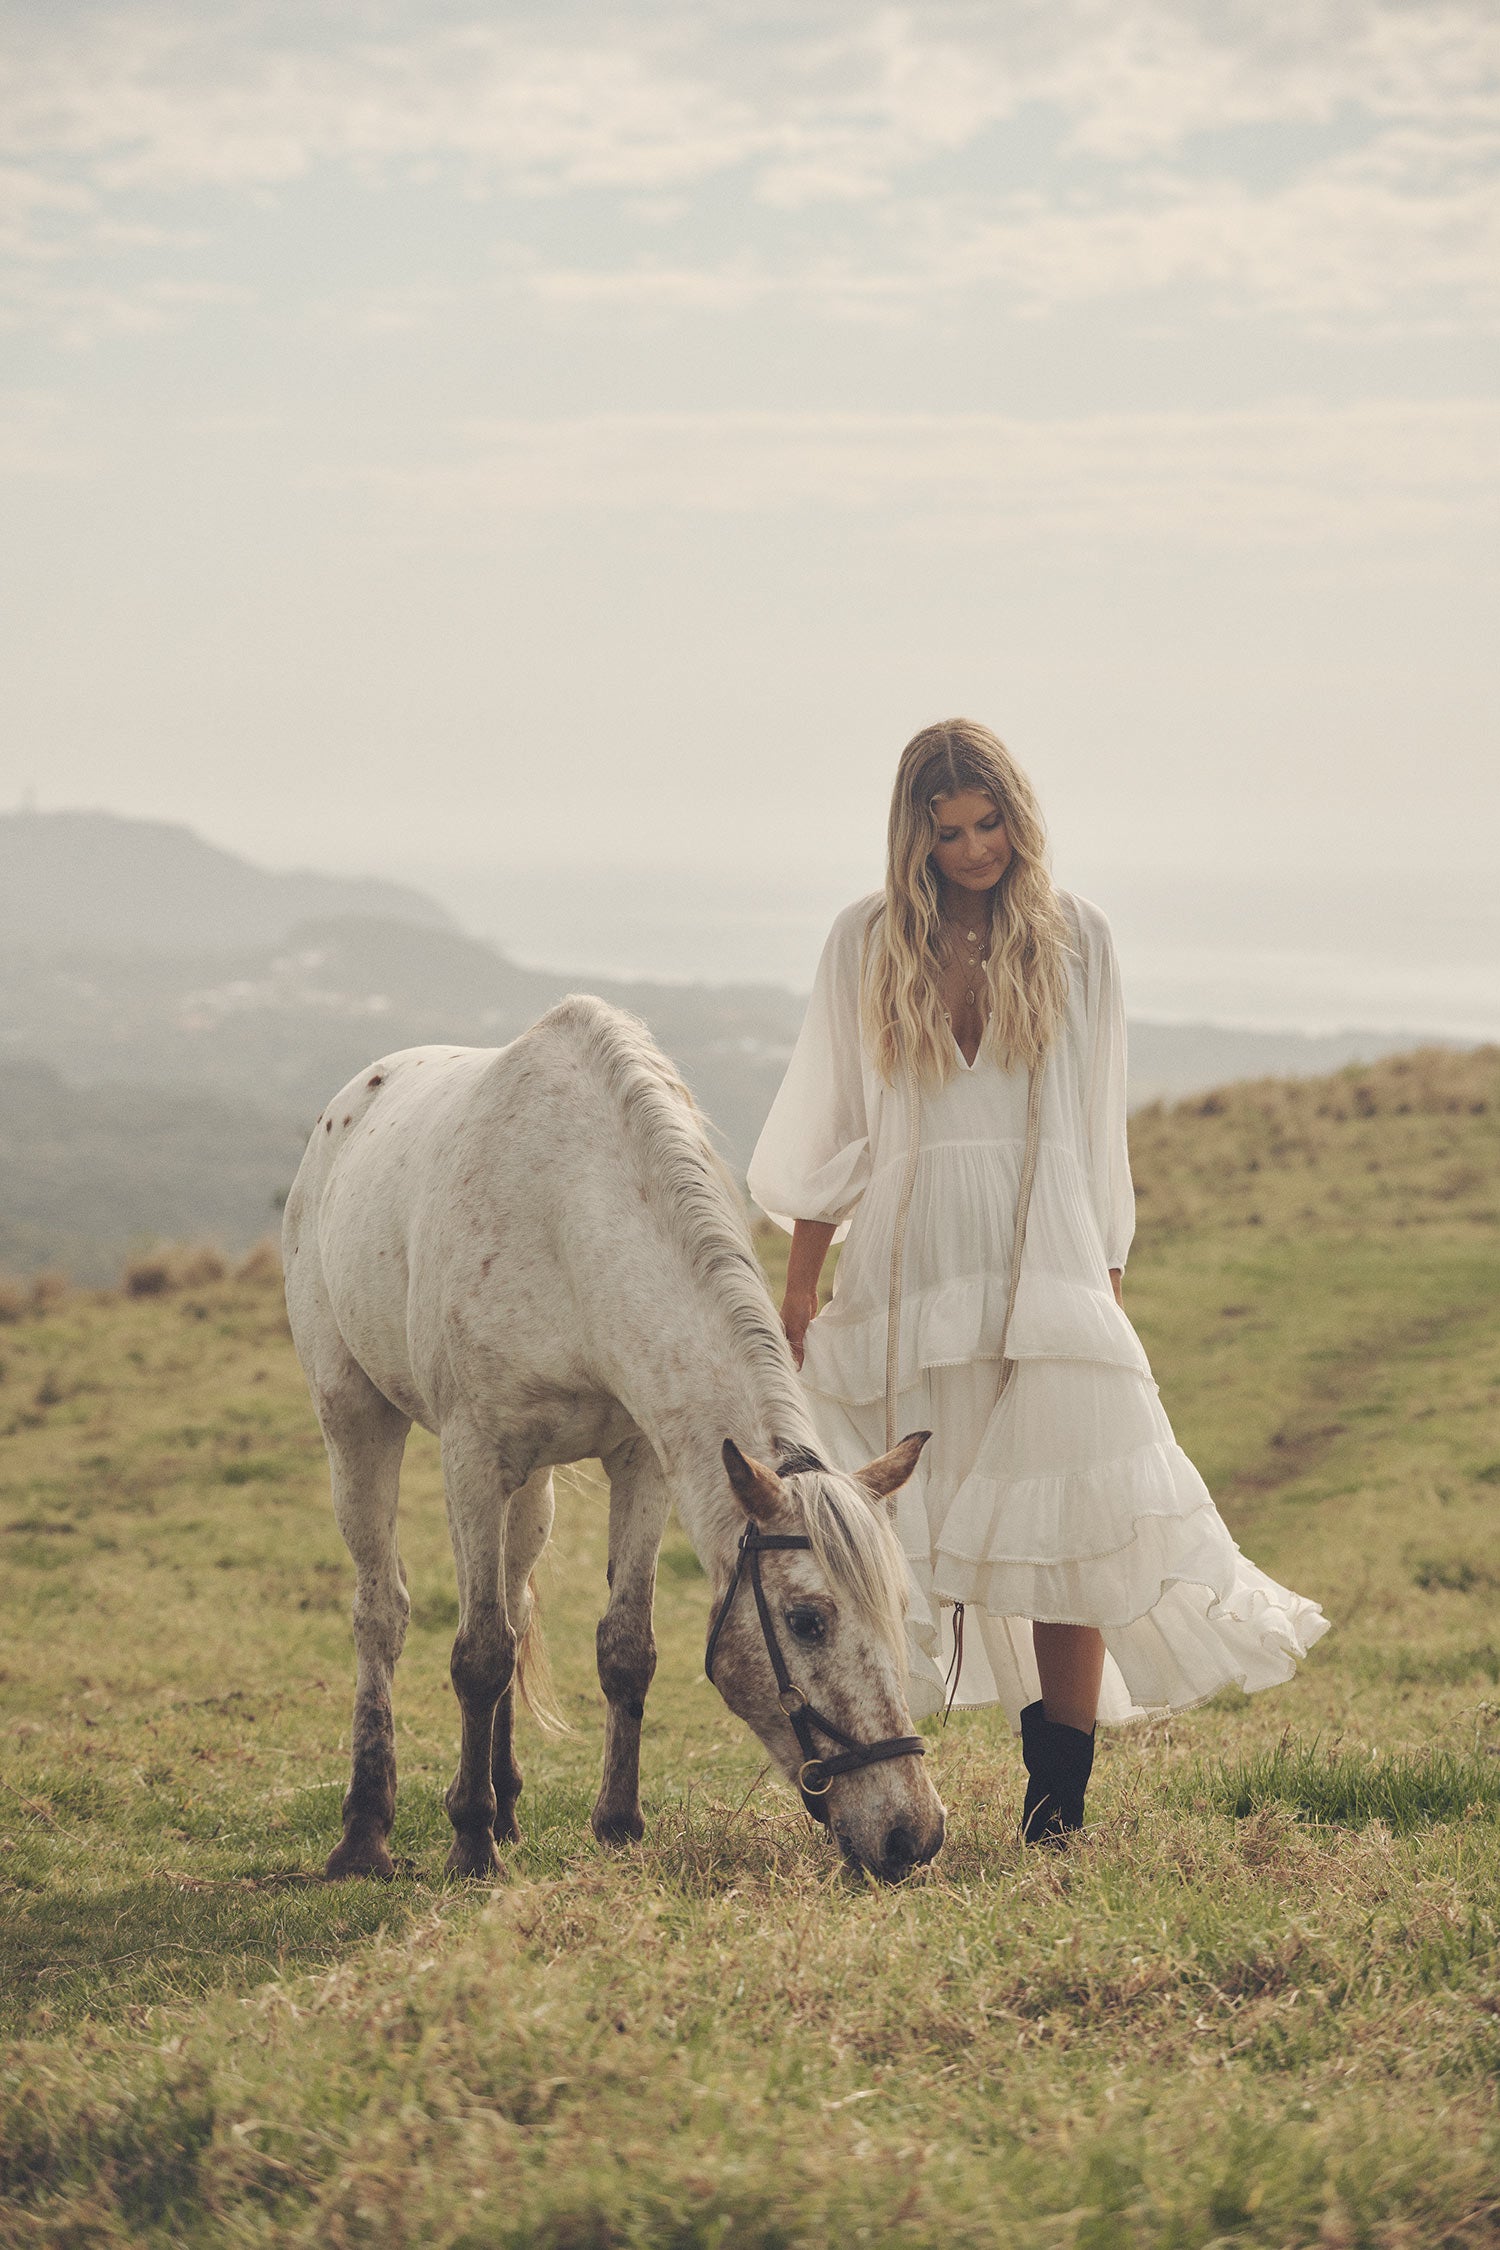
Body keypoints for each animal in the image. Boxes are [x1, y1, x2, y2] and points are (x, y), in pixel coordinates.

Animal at [278, 999, 949, 1881]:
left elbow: (624, 1648)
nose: (914, 1833)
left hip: (530, 1487)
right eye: (808, 1621)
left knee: (517, 1600)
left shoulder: (642, 1464)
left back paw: (504, 1803)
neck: (571, 1223)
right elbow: (479, 1654)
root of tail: (346, 1107)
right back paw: (367, 1831)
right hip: (355, 1418)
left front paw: (617, 1822)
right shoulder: (471, 1457)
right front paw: (470, 1846)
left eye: (900, 1605)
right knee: (382, 1615)